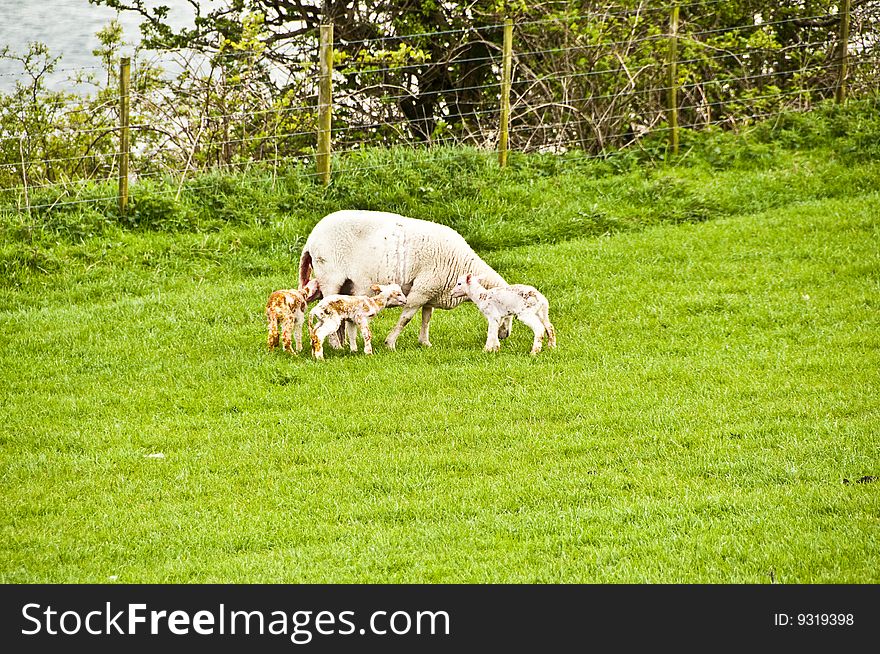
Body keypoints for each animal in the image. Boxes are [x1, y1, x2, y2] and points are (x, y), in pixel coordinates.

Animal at [298, 211, 512, 354]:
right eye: (505, 314)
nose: (506, 335)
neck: (459, 264)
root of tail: (311, 238)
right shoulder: (421, 291)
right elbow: (405, 318)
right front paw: (390, 343)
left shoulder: (429, 291)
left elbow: (427, 318)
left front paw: (424, 342)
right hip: (330, 277)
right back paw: (335, 344)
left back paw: (341, 344)